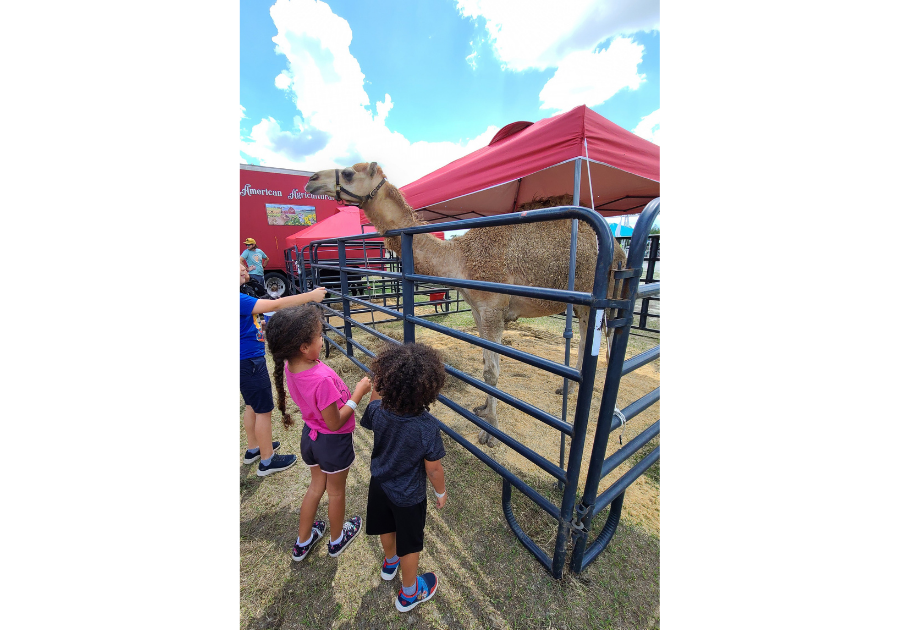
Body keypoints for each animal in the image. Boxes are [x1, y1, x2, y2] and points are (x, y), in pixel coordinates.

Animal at [306, 163, 628, 450]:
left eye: (349, 172)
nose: (312, 180)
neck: (459, 258)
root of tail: (617, 247)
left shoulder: (492, 308)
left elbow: (492, 372)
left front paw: (491, 432)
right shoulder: (477, 309)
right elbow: (486, 364)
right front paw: (484, 411)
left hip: (601, 292)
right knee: (586, 340)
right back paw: (567, 388)